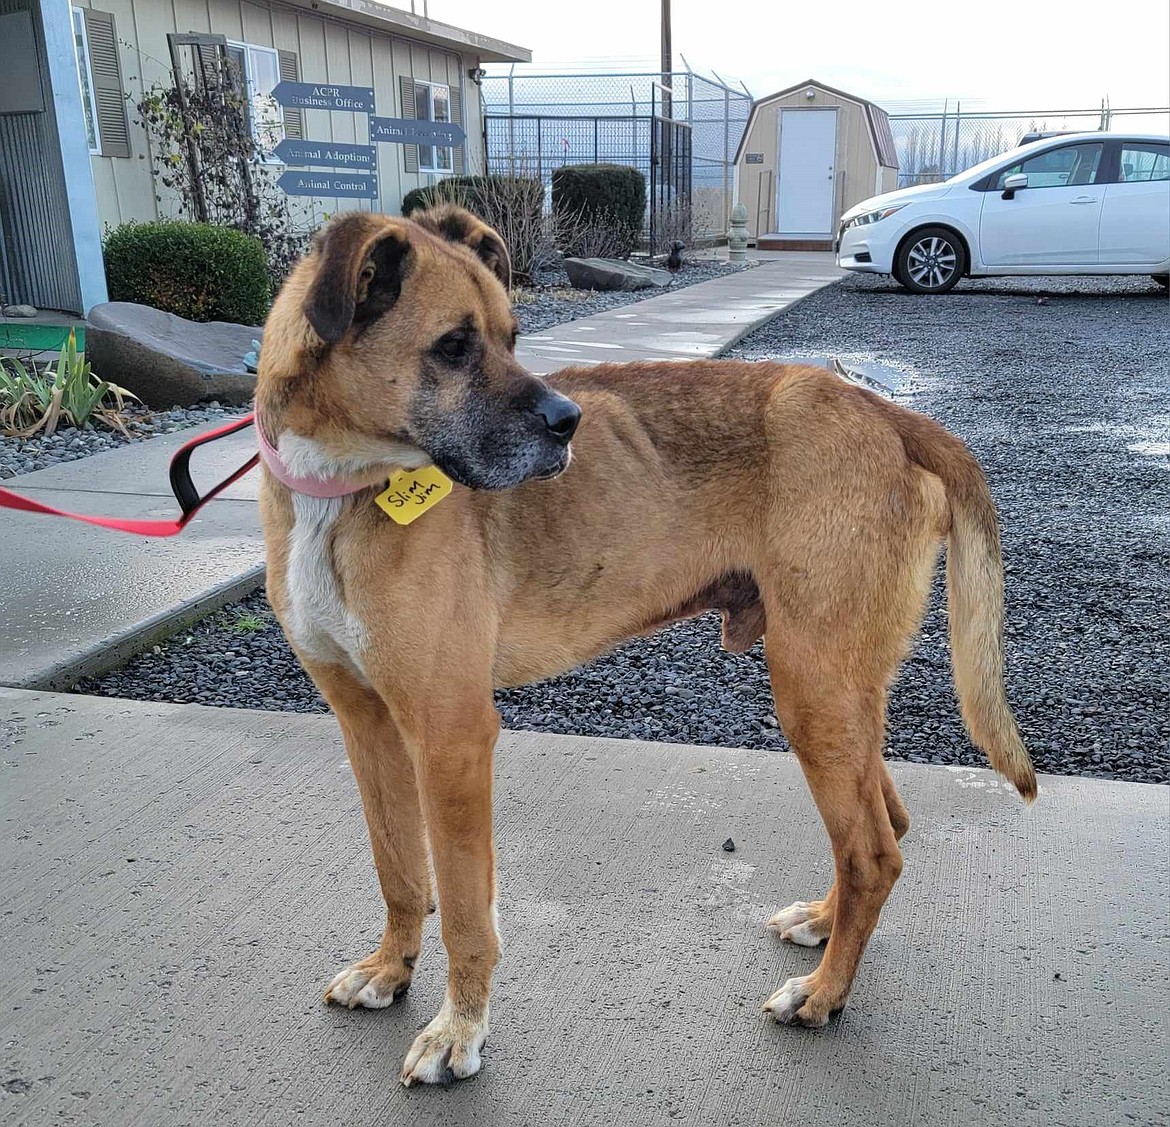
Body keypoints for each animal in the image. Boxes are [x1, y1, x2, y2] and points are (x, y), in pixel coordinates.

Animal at [256, 207, 1034, 1090]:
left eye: (514, 334)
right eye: (454, 345)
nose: (569, 424)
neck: (341, 488)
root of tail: (890, 415)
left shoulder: (451, 735)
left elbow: (462, 909)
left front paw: (459, 1028)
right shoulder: (367, 722)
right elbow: (398, 871)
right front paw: (390, 970)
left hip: (813, 688)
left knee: (872, 850)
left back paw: (825, 992)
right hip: (839, 694)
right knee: (883, 826)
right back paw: (823, 923)